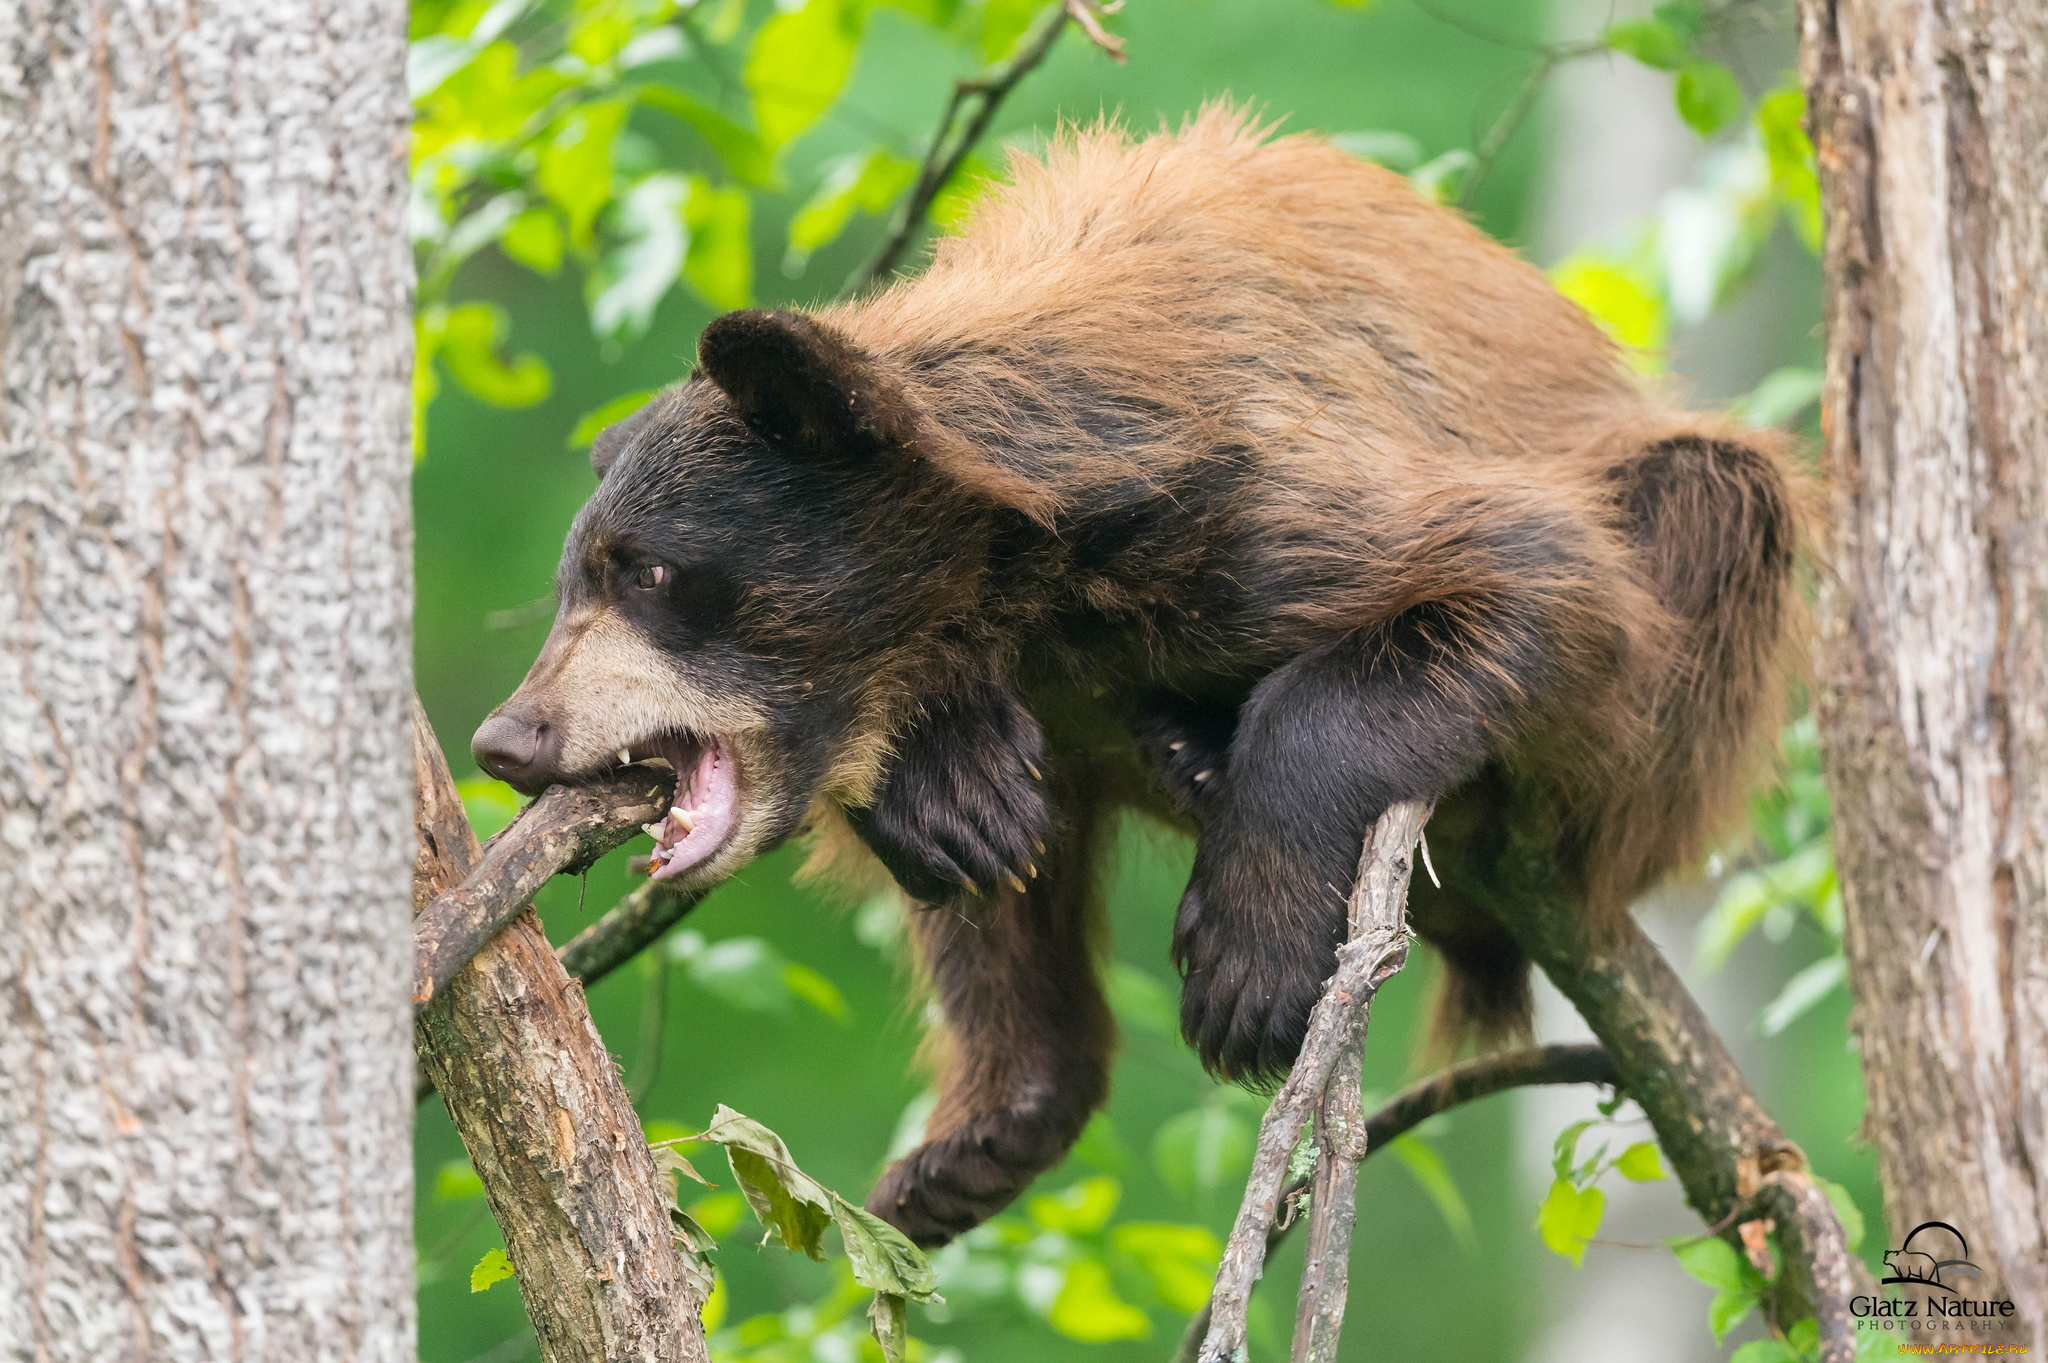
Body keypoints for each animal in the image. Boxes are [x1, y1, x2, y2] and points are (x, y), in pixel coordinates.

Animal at [471, 106, 1802, 1244]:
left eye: (648, 571)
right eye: (570, 581)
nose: (506, 740)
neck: (1028, 581)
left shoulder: (1253, 496)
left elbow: (1532, 582)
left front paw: (1246, 970)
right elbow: (963, 836)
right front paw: (946, 780)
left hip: (1692, 638)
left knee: (1704, 505)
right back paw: (980, 1132)